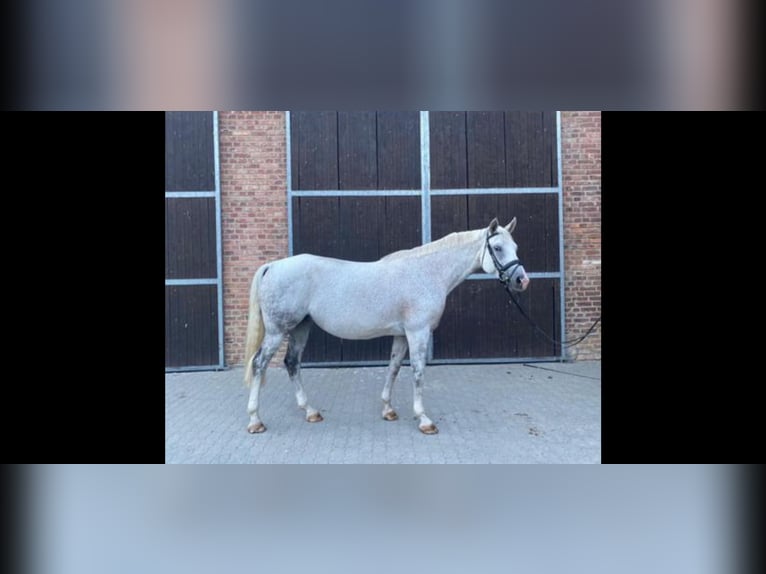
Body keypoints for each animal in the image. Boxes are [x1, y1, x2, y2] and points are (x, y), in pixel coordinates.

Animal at [244, 218, 528, 434]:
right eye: (498, 247)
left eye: (515, 246)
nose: (522, 280)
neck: (427, 273)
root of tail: (272, 266)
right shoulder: (418, 333)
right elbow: (418, 373)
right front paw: (424, 420)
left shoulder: (401, 335)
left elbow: (393, 368)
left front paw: (388, 410)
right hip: (277, 331)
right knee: (259, 364)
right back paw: (255, 420)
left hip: (301, 328)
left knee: (292, 363)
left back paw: (310, 411)